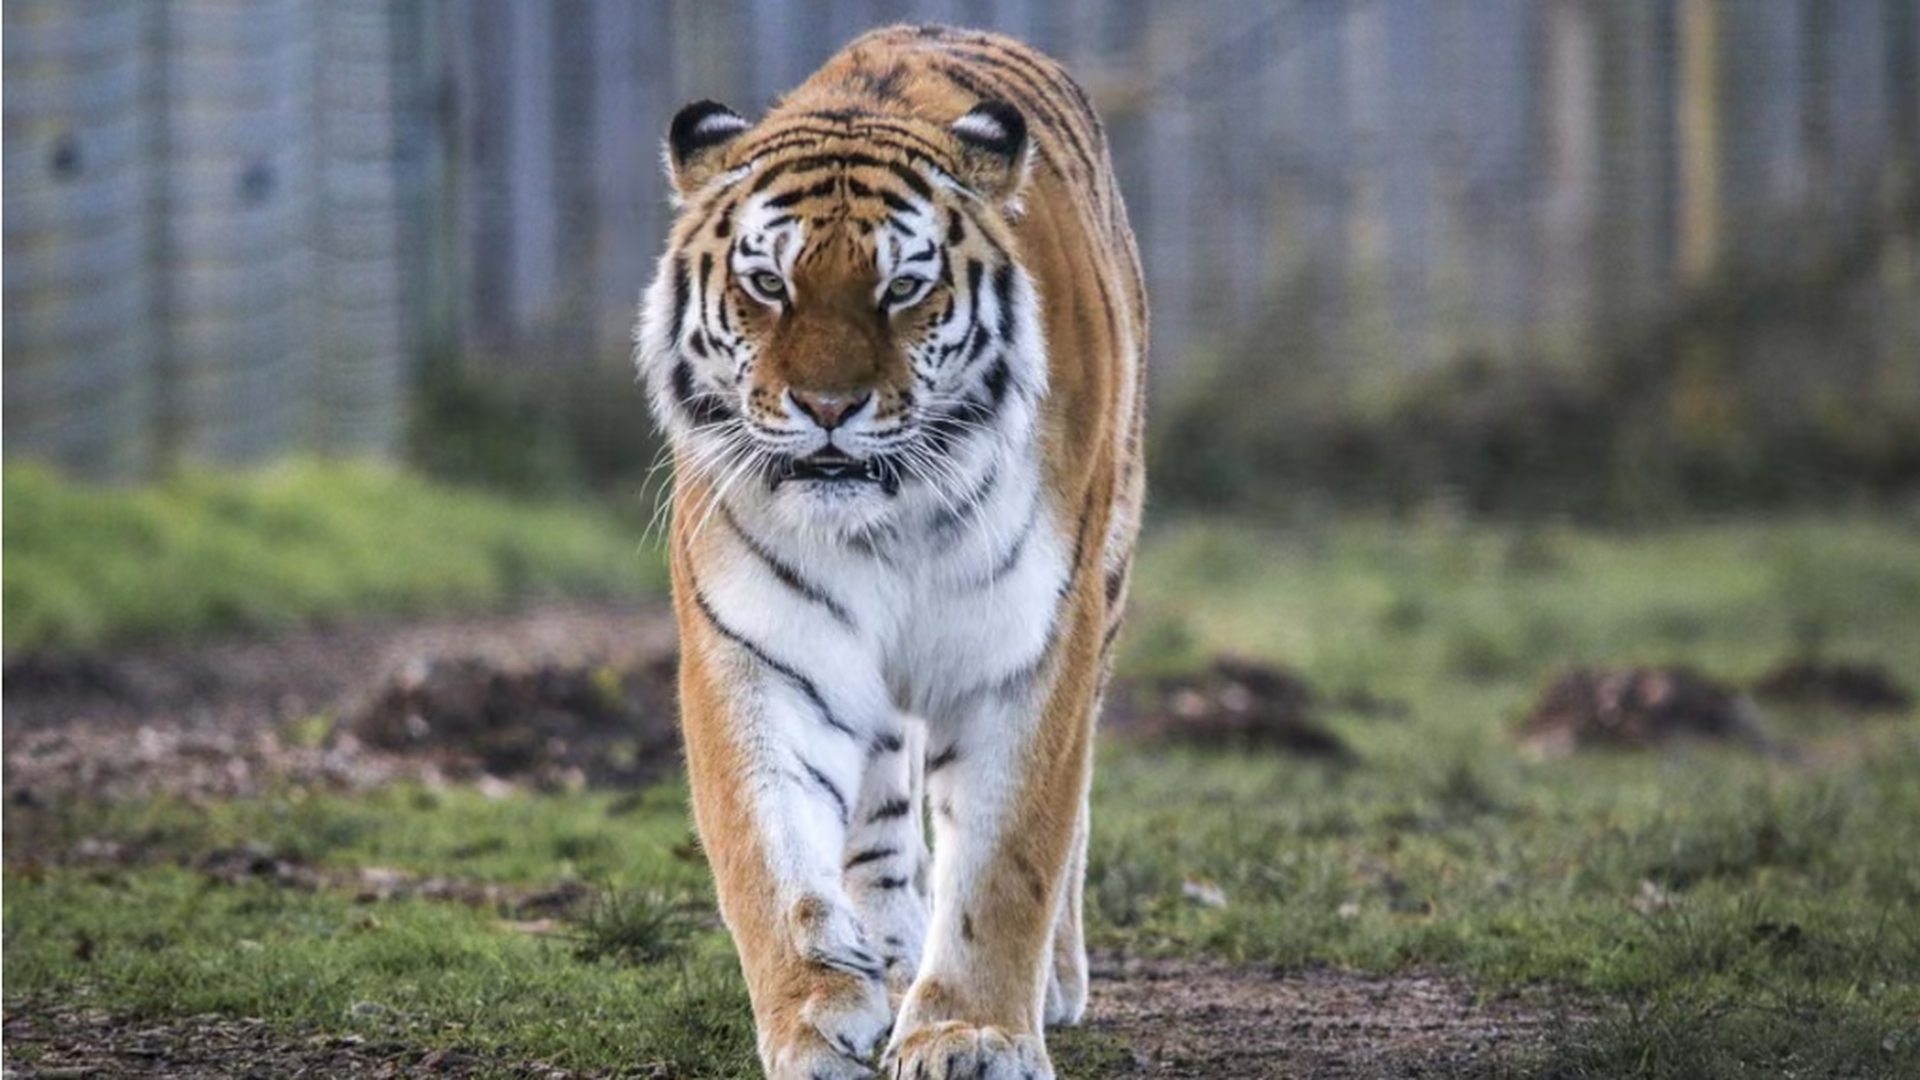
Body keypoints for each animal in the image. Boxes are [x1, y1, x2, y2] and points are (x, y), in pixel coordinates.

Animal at [634, 24, 1146, 1080]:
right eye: (769, 284)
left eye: (902, 288)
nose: (828, 407)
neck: (888, 519)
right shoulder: (759, 648)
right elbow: (770, 854)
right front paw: (814, 1018)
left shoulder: (1030, 647)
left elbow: (1009, 859)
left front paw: (974, 1034)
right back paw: (890, 956)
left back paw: (1052, 982)